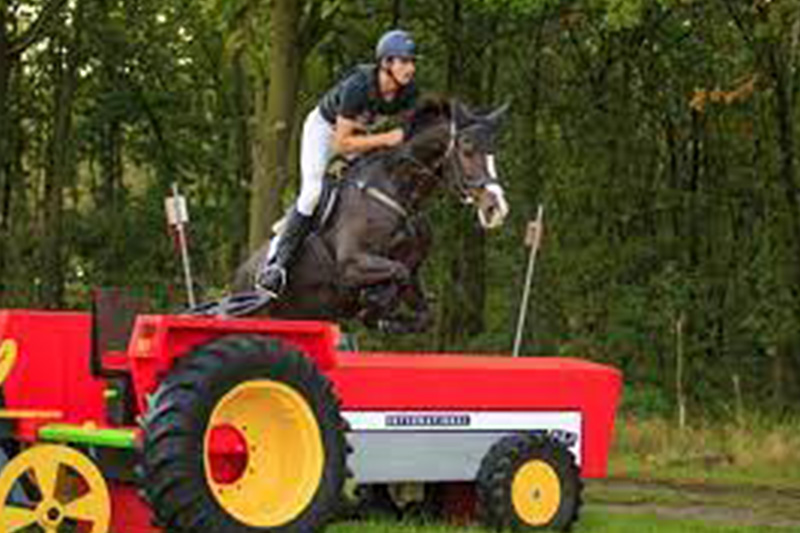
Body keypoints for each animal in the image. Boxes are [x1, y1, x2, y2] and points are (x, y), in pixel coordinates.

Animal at [222, 97, 510, 330]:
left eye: (494, 153)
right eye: (467, 150)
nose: (496, 208)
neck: (401, 195)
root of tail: (238, 278)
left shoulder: (412, 270)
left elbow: (420, 308)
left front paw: (388, 318)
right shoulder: (352, 264)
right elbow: (395, 273)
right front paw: (375, 305)